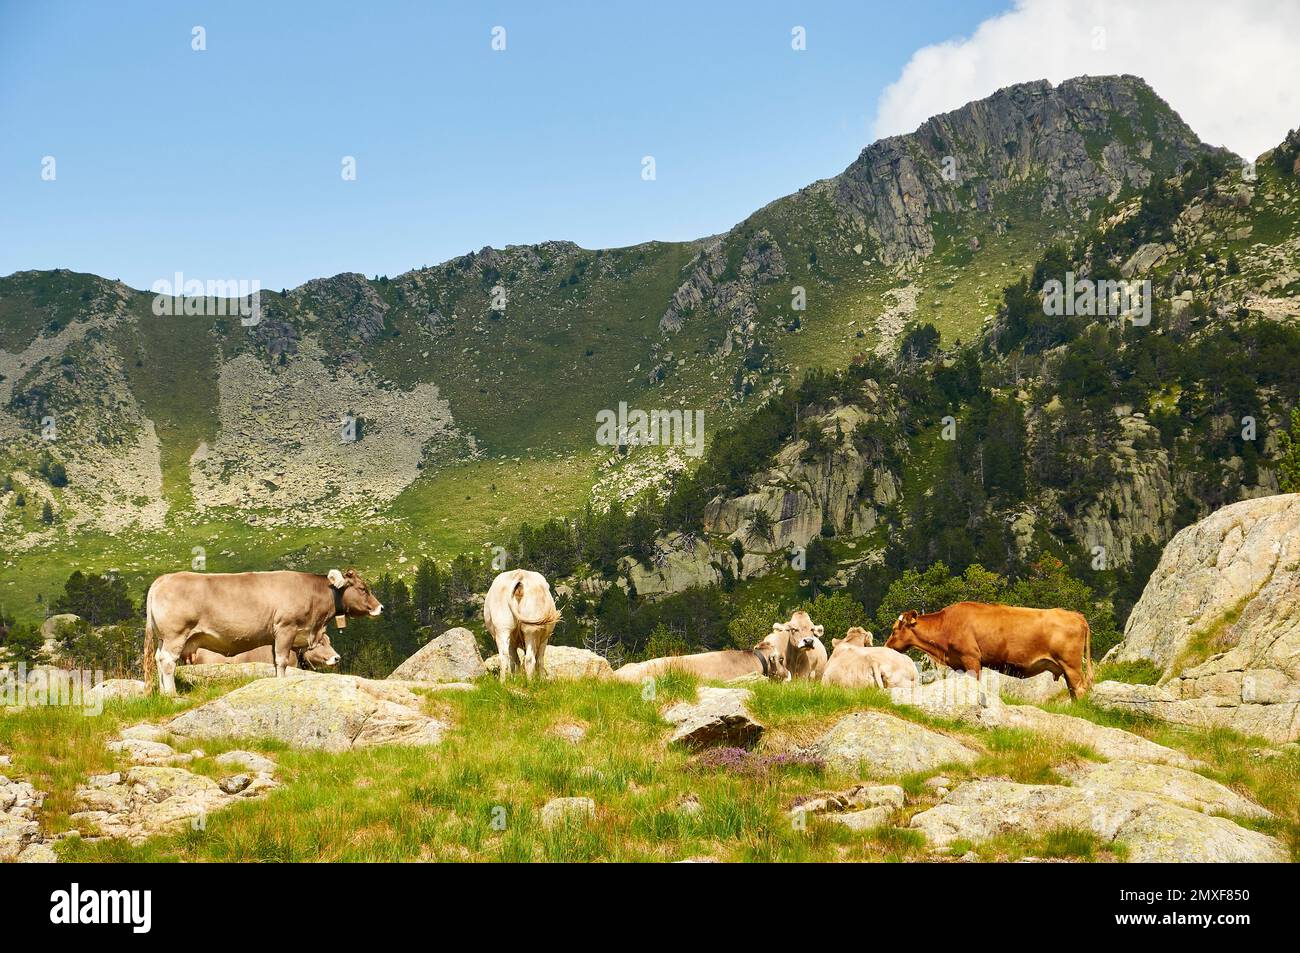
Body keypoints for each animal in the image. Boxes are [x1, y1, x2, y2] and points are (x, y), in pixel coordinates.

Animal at [146, 564, 382, 691]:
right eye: (363, 588)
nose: (380, 607)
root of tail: (163, 579)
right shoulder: (286, 628)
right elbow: (282, 661)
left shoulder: (276, 637)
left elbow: (276, 663)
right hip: (176, 634)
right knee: (168, 661)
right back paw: (172, 693)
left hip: (163, 637)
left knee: (158, 658)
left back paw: (162, 692)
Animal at [889, 603, 1092, 696]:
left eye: (894, 629)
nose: (887, 646)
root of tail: (1076, 615)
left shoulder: (971, 658)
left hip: (1071, 665)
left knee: (1080, 689)